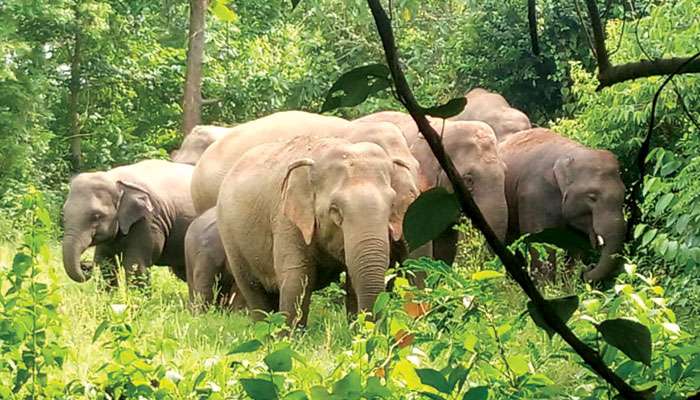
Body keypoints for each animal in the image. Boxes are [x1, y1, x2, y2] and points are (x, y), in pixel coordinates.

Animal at [61, 158, 197, 286]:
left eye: (96, 216)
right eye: (64, 214)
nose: (86, 265)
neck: (115, 179)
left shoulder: (149, 221)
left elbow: (136, 266)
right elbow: (105, 263)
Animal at [219, 136, 416, 326]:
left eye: (392, 204)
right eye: (335, 210)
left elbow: (353, 282)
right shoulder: (286, 220)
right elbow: (296, 280)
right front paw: (288, 335)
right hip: (231, 241)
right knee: (254, 291)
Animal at [500, 128, 628, 282]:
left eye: (623, 195)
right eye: (592, 197)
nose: (587, 270)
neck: (570, 154)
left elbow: (575, 244)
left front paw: (569, 283)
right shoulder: (535, 195)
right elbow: (542, 240)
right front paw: (546, 286)